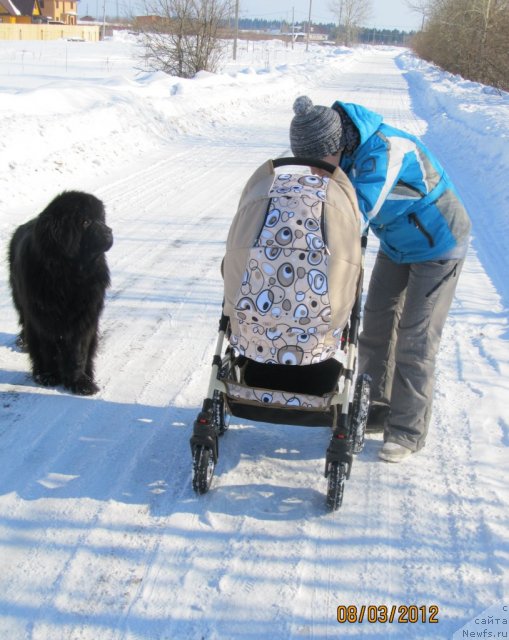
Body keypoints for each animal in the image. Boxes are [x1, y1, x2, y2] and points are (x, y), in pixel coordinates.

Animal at [8, 191, 113, 396]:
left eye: (101, 218)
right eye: (86, 221)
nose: (109, 232)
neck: (67, 276)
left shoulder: (84, 318)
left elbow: (78, 352)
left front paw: (80, 382)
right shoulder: (42, 318)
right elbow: (46, 348)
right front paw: (48, 376)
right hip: (20, 300)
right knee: (23, 320)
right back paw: (23, 342)